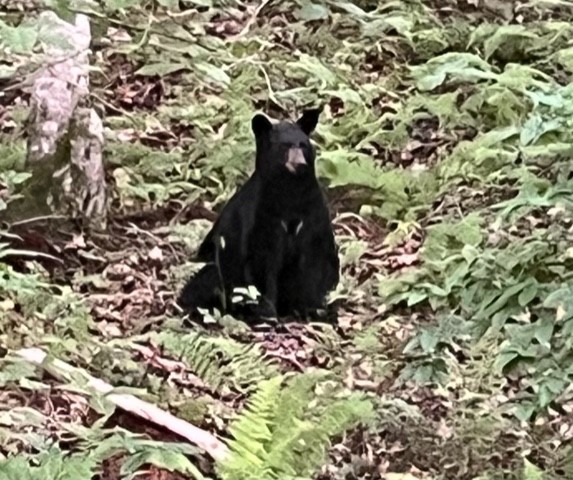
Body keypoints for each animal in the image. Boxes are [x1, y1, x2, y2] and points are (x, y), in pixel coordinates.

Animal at [179, 107, 338, 320]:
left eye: (303, 145)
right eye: (284, 146)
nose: (300, 164)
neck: (291, 193)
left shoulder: (313, 214)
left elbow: (314, 261)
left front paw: (312, 309)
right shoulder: (261, 217)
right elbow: (261, 261)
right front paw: (267, 311)